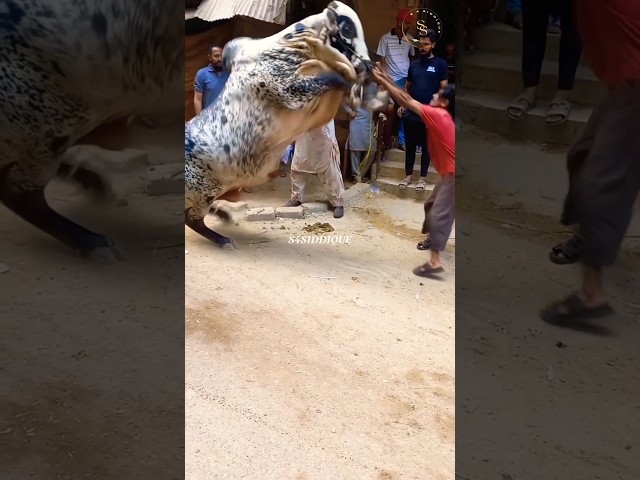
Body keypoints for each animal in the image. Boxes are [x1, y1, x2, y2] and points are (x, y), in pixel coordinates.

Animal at [184, 1, 388, 248]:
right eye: (347, 29)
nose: (368, 66)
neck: (294, 48)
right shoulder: (286, 89)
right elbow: (333, 79)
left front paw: (378, 97)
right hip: (202, 192)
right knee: (192, 219)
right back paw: (223, 239)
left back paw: (223, 218)